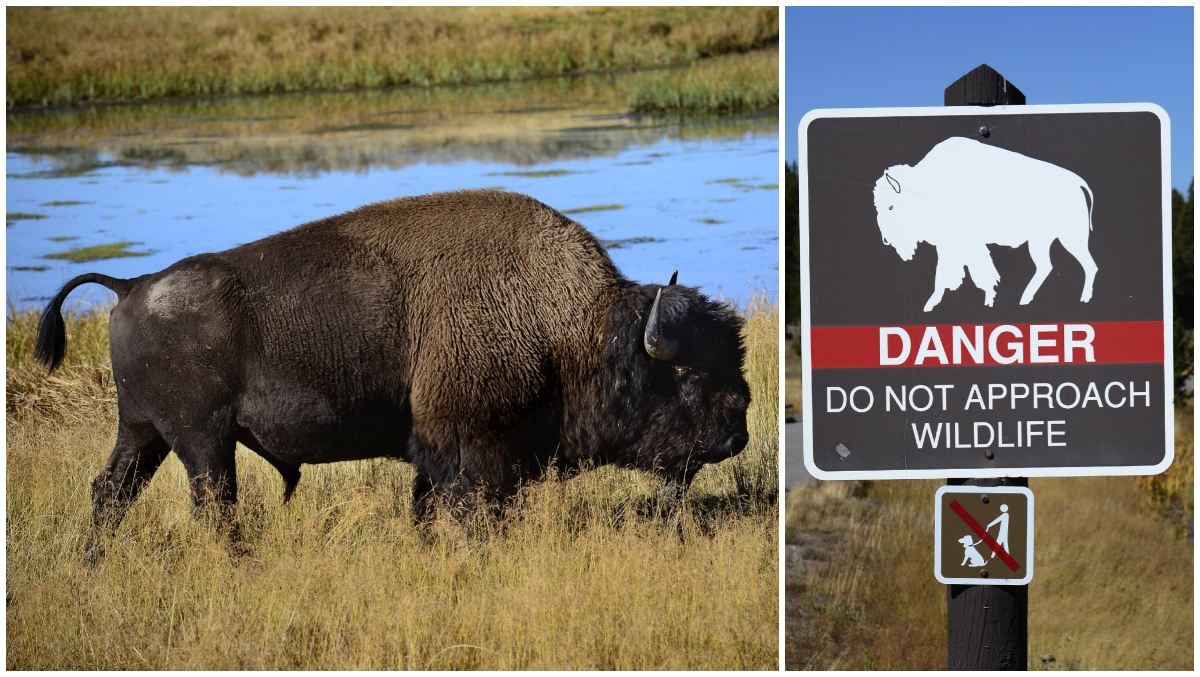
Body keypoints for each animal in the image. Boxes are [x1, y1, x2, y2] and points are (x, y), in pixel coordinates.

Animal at [37, 187, 748, 552]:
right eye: (687, 375)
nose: (736, 432)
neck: (574, 329)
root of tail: (132, 285)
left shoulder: (436, 456)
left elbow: (426, 507)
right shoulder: (476, 455)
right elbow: (472, 511)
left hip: (144, 434)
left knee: (110, 492)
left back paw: (94, 561)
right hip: (202, 441)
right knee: (213, 506)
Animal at [873, 137, 1099, 312]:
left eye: (891, 206)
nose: (885, 239)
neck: (927, 187)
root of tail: (1077, 182)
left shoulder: (958, 244)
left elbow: (955, 273)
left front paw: (933, 304)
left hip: (1070, 238)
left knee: (1087, 265)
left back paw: (1082, 298)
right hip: (1041, 241)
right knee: (1048, 266)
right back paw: (1025, 300)